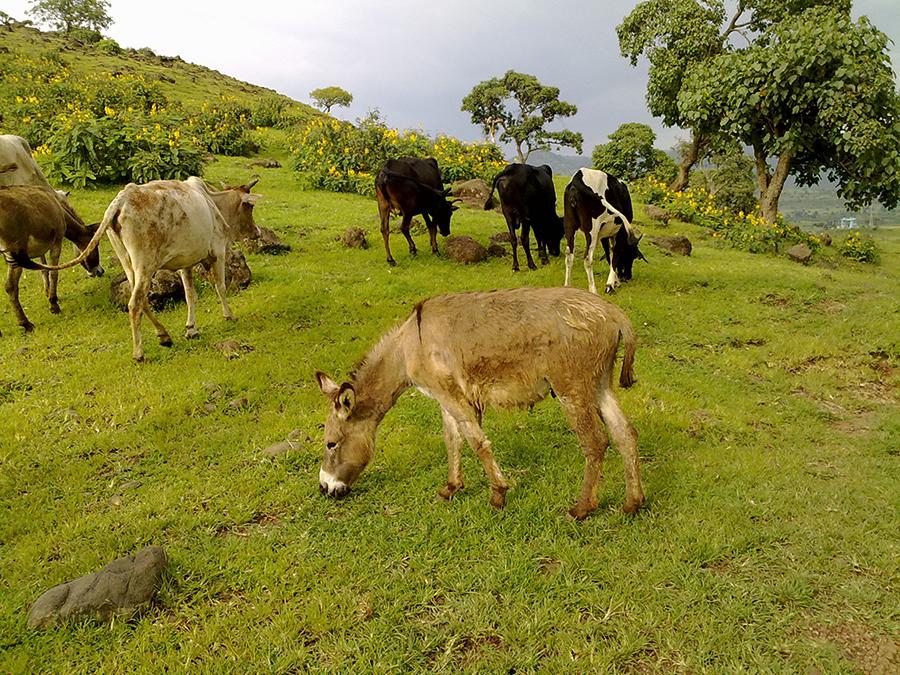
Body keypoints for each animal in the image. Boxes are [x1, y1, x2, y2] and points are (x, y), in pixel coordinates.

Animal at [0, 186, 104, 334]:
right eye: (96, 245)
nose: (100, 271)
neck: (59, 209)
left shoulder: (42, 249)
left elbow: (45, 270)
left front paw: (48, 294)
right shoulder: (56, 243)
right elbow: (54, 273)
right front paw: (54, 304)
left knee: (10, 286)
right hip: (15, 253)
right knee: (11, 286)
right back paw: (26, 324)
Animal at [14, 177, 260, 362]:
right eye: (249, 206)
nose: (257, 232)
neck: (212, 203)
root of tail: (121, 200)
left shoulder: (185, 263)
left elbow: (190, 295)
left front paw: (191, 328)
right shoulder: (217, 250)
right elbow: (220, 286)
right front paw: (229, 316)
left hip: (129, 262)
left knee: (140, 299)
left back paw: (164, 336)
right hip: (145, 263)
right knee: (134, 303)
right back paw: (139, 353)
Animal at [312, 288, 644, 520]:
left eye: (330, 443)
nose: (324, 488)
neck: (409, 346)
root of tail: (614, 313)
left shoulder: (452, 396)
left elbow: (477, 442)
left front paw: (498, 494)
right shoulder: (445, 398)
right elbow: (452, 440)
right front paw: (451, 487)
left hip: (571, 389)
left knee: (595, 442)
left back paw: (582, 508)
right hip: (599, 385)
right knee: (625, 434)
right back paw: (633, 503)